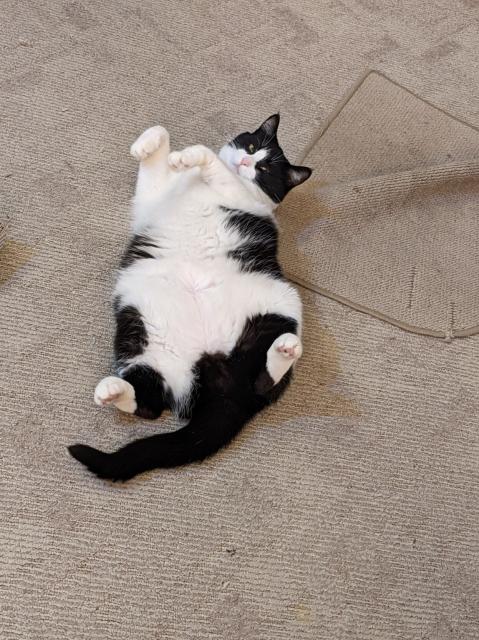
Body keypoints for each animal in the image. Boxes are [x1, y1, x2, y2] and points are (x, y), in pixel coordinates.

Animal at [69, 114, 314, 480]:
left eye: (265, 169)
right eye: (251, 146)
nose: (245, 162)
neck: (200, 185)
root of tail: (214, 369)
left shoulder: (242, 195)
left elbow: (216, 167)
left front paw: (189, 155)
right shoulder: (154, 196)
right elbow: (160, 143)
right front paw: (150, 146)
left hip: (279, 306)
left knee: (262, 382)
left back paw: (285, 349)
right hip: (138, 332)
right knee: (149, 404)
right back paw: (112, 391)